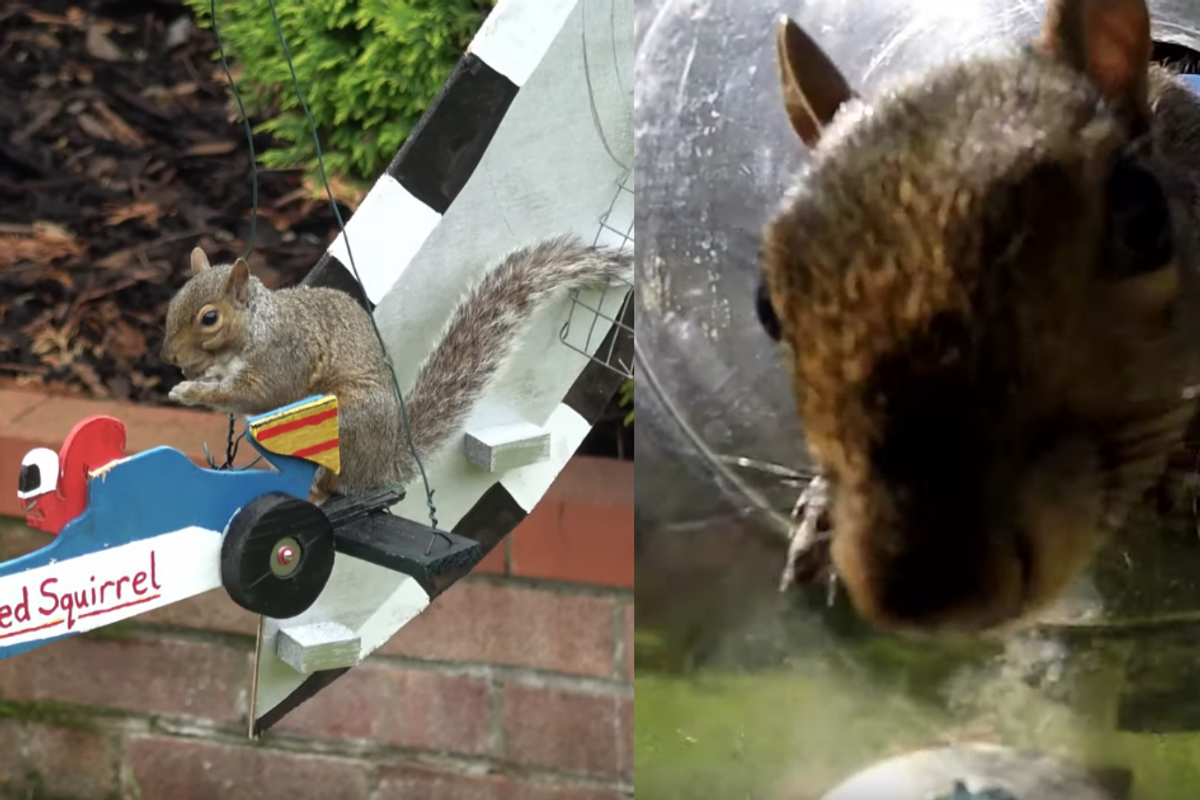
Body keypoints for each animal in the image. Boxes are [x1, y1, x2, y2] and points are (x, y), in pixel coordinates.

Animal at [160, 235, 632, 504]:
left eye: (209, 318)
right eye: (174, 300)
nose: (170, 358)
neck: (258, 326)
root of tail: (383, 462)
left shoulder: (284, 357)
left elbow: (254, 393)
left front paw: (191, 393)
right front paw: (195, 381)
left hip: (346, 421)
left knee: (334, 483)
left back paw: (316, 490)